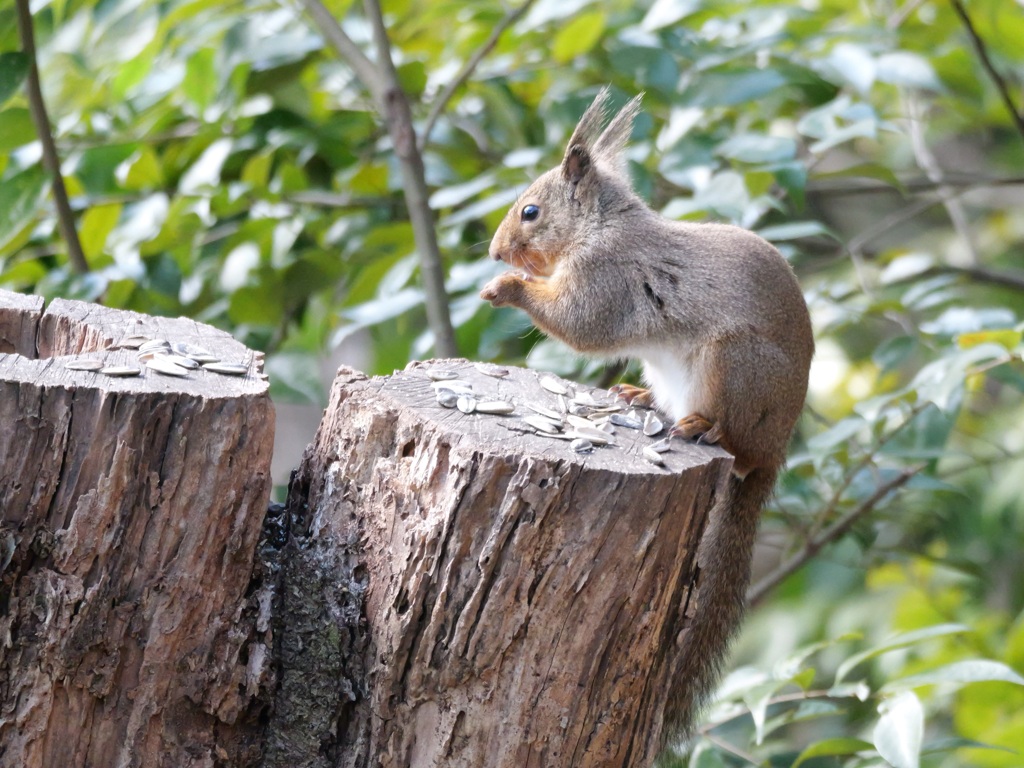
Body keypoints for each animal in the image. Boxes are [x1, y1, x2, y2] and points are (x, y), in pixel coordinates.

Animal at [475, 90, 811, 745]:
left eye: (530, 211)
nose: (497, 252)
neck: (601, 228)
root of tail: (778, 449)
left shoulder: (607, 277)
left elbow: (582, 323)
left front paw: (509, 286)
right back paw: (639, 399)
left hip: (734, 366)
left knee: (737, 440)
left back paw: (703, 428)